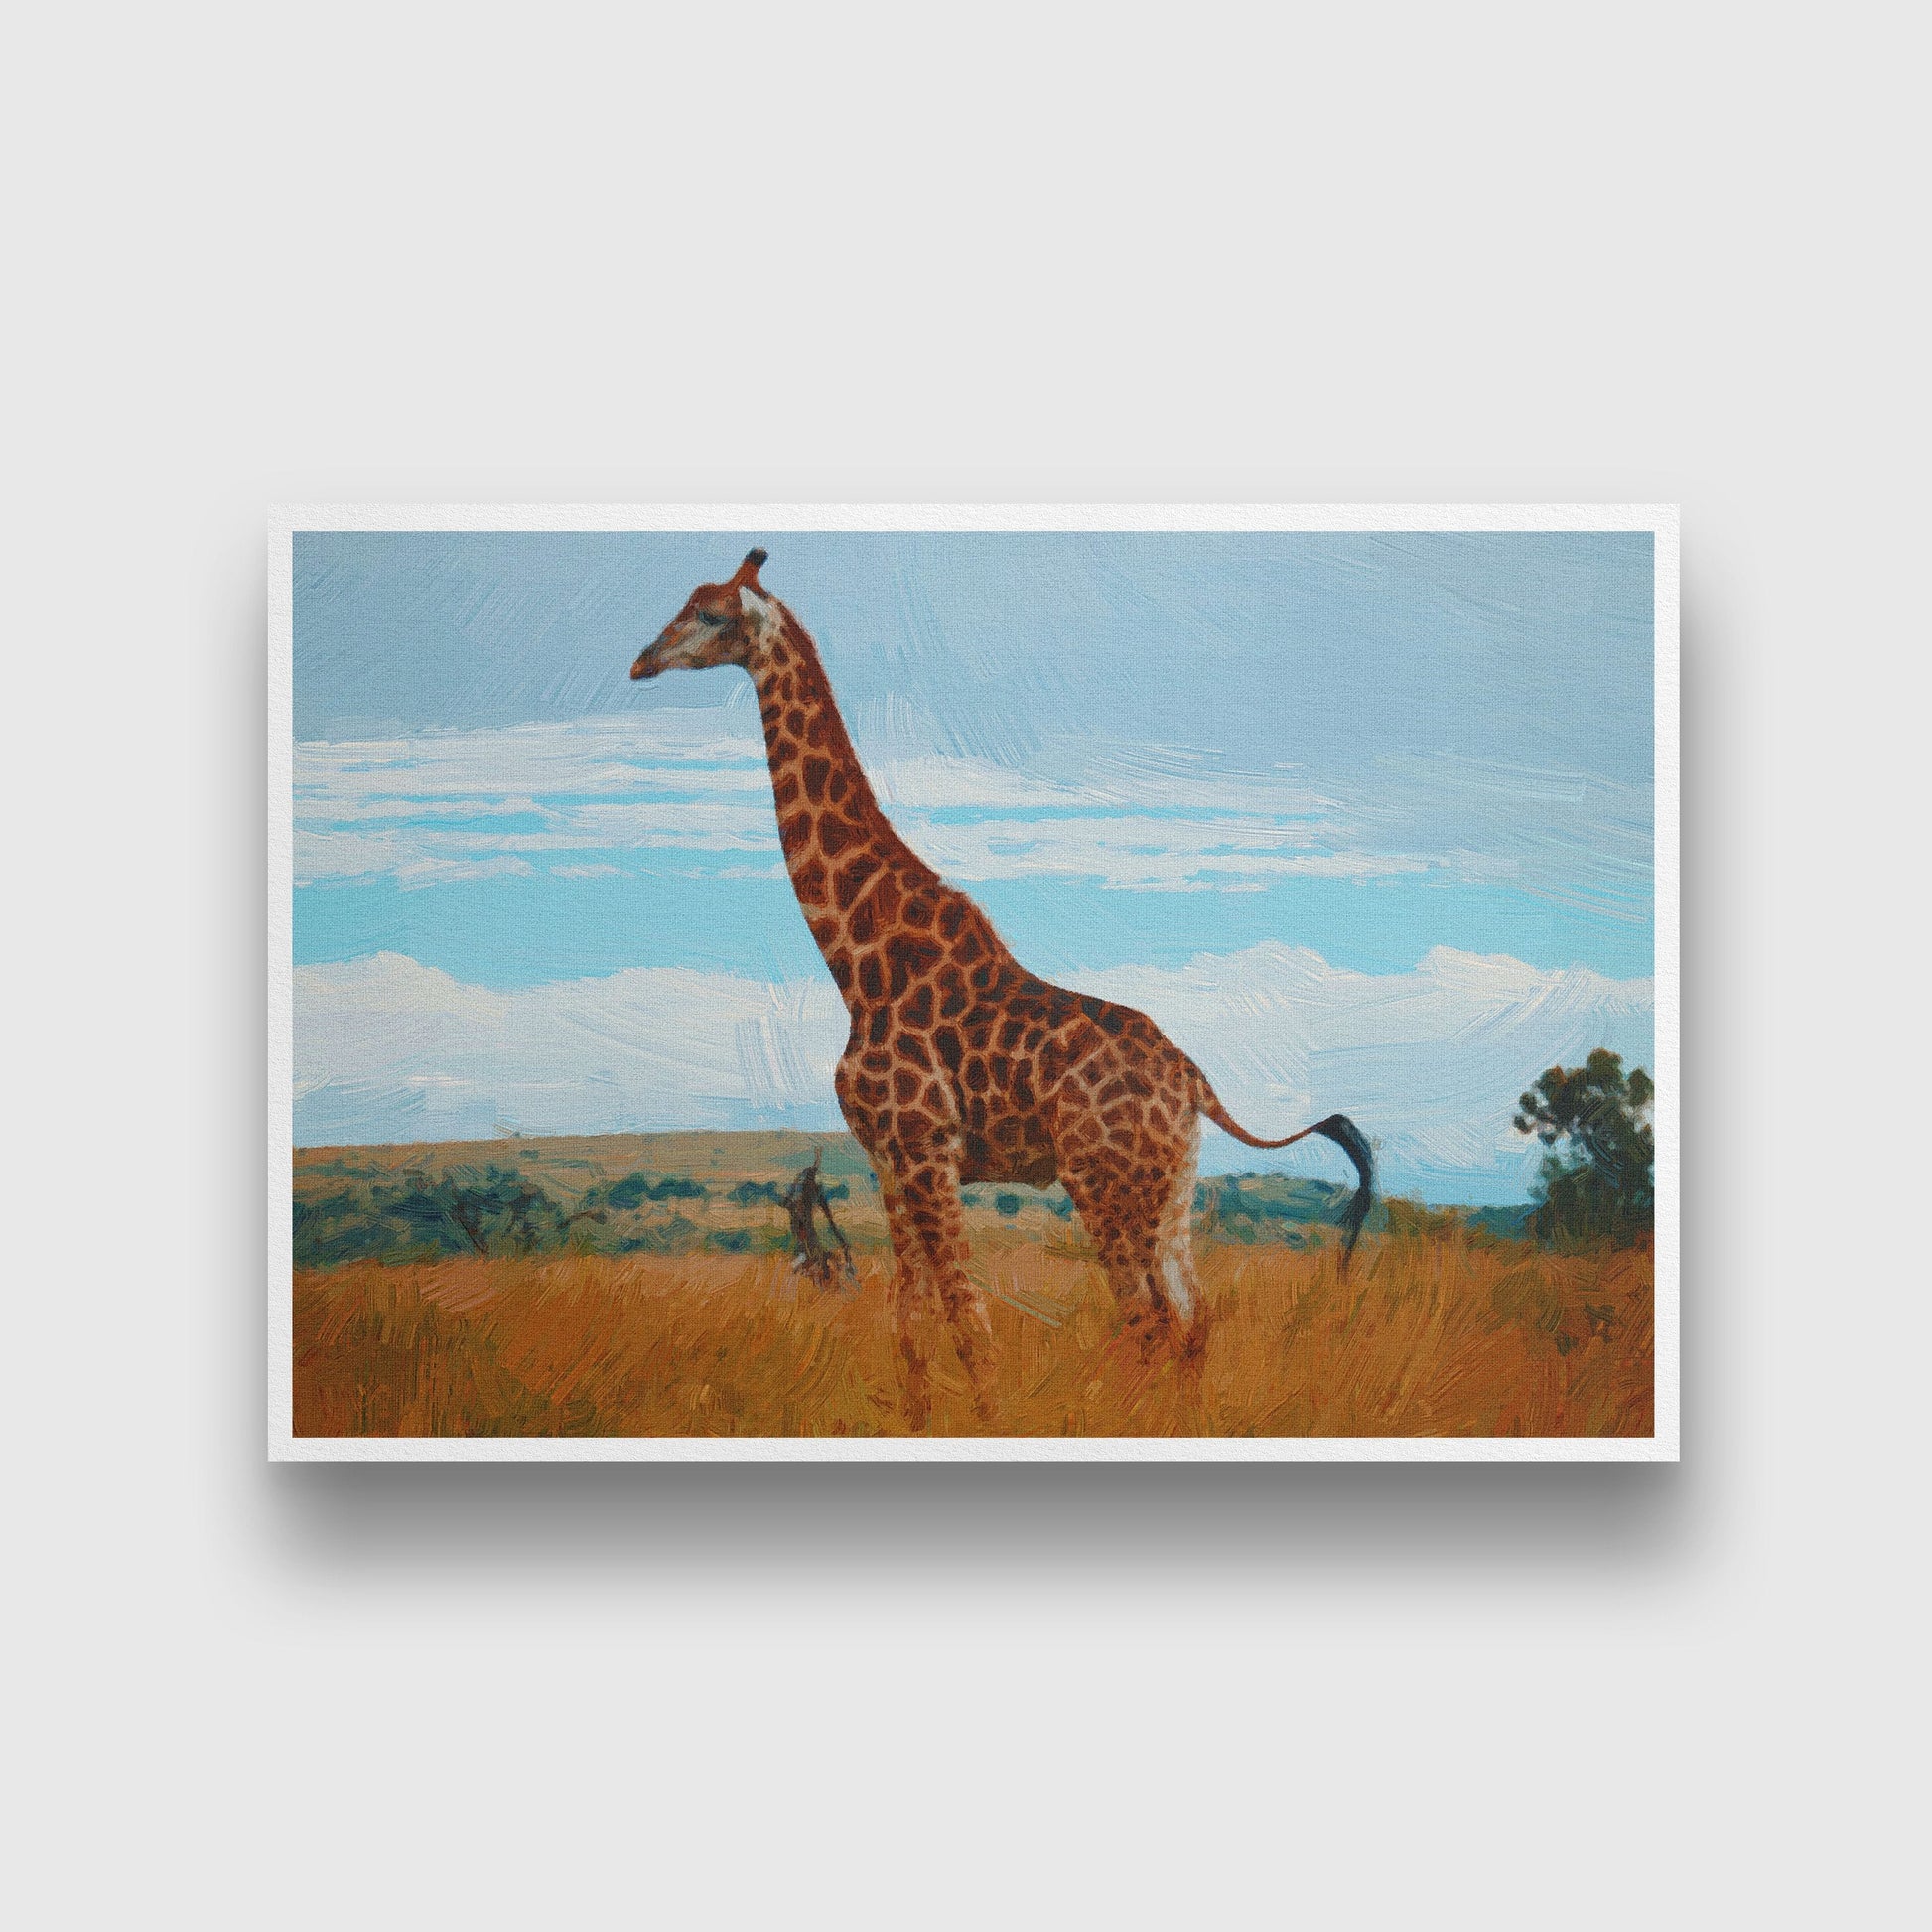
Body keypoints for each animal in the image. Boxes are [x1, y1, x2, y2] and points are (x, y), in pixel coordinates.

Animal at [629, 548, 1373, 1429]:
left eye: (710, 614)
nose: (641, 662)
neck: (860, 963)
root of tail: (1195, 1081)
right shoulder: (888, 1160)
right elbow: (910, 1318)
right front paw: (919, 1419)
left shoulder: (927, 1151)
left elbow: (967, 1317)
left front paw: (988, 1418)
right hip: (1171, 1188)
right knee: (1194, 1317)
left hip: (1103, 1183)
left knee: (1148, 1318)